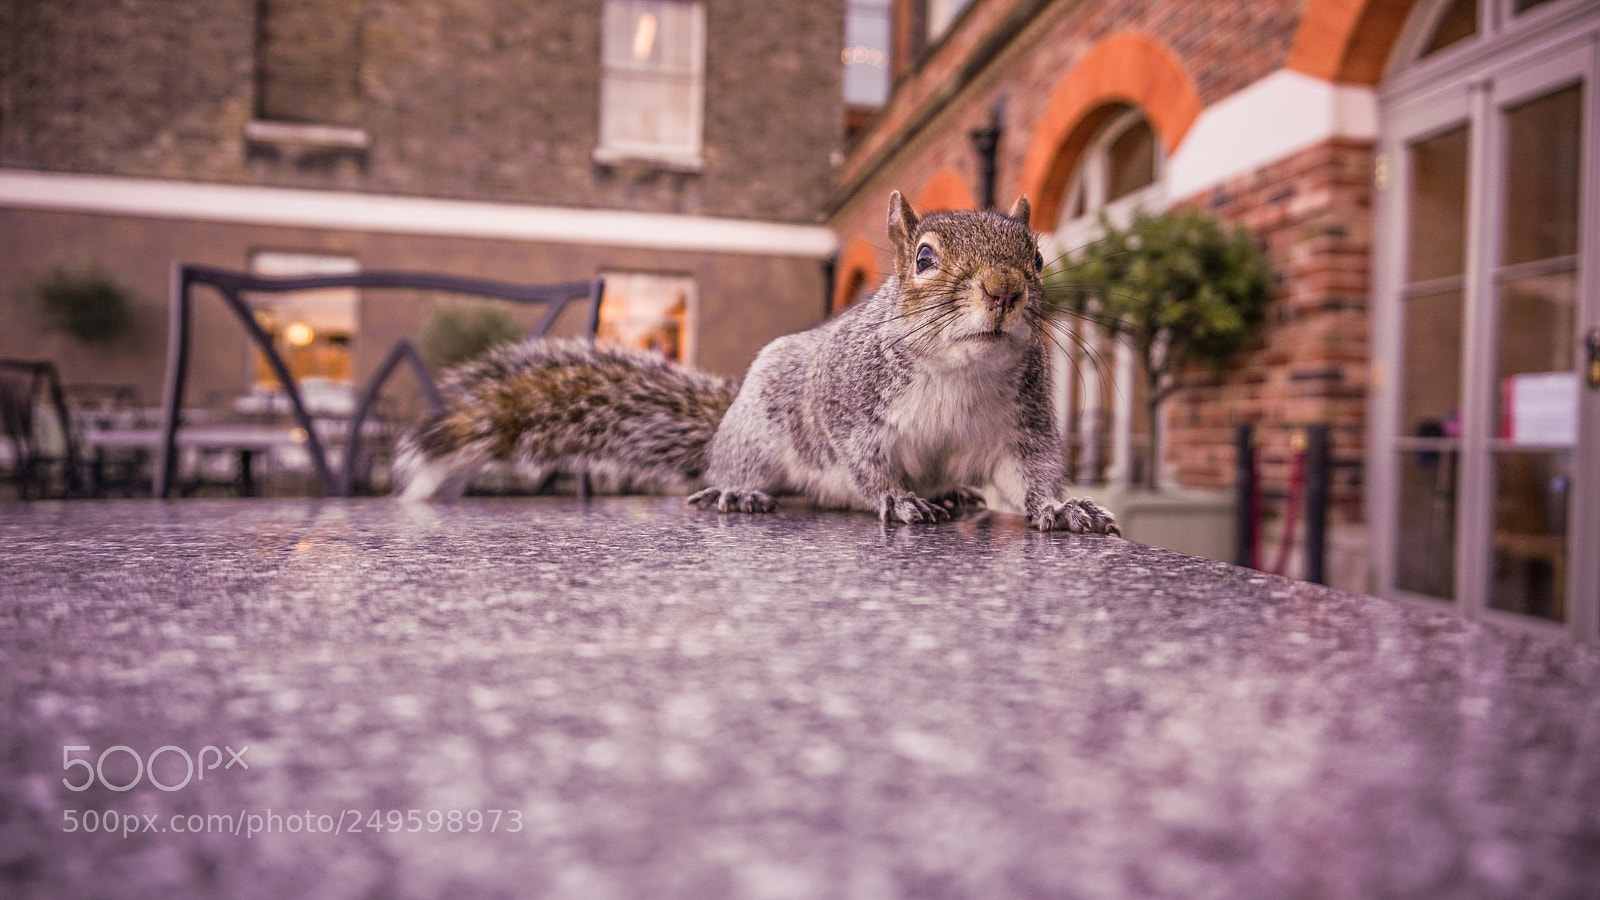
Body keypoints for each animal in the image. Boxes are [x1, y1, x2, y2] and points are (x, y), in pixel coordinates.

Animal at [396, 191, 1118, 535]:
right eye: (923, 258)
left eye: (1038, 258)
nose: (1004, 290)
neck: (960, 370)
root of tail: (728, 414)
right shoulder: (849, 406)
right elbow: (867, 462)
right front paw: (897, 498)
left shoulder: (1022, 427)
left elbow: (1034, 475)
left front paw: (1063, 510)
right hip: (756, 433)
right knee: (735, 466)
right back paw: (734, 490)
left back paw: (953, 491)